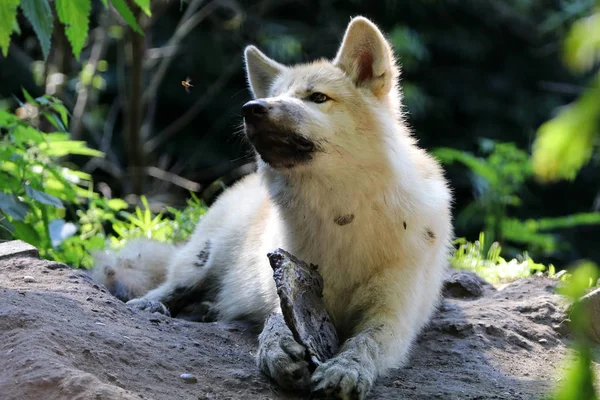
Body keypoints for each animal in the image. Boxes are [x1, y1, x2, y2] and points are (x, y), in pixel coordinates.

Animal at [94, 16, 452, 400]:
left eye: (318, 97)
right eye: (277, 93)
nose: (252, 108)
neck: (340, 216)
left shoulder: (393, 315)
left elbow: (366, 342)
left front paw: (346, 370)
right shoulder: (284, 286)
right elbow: (275, 322)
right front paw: (277, 350)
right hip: (203, 259)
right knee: (173, 284)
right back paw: (154, 304)